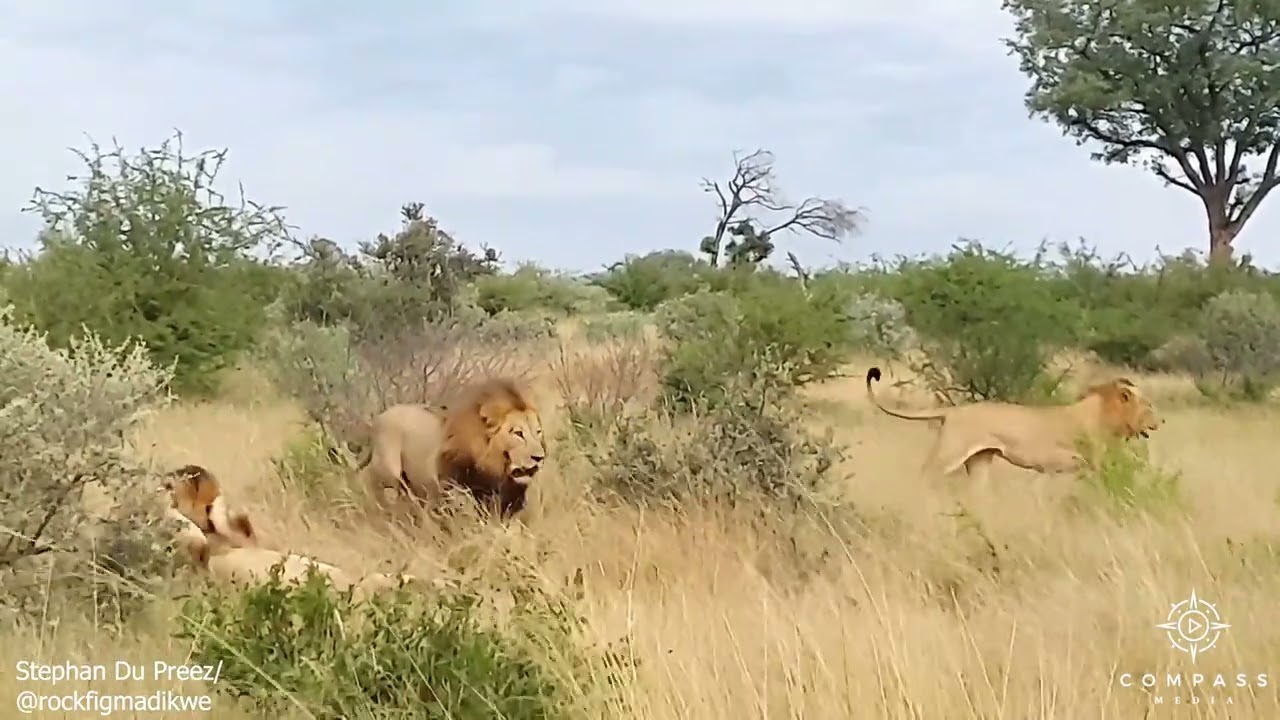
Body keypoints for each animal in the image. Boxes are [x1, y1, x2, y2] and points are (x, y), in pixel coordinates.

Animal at [356, 377, 546, 519]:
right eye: (518, 433)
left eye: (538, 432)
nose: (539, 458)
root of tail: (380, 418)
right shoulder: (453, 490)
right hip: (387, 470)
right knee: (370, 480)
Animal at [864, 366, 1163, 484]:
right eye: (1148, 405)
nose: (1161, 421)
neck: (1105, 413)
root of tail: (954, 410)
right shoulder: (1093, 464)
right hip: (950, 452)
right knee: (925, 475)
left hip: (980, 460)